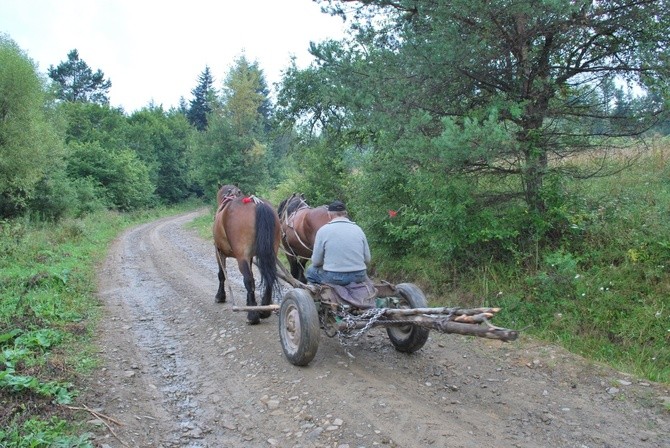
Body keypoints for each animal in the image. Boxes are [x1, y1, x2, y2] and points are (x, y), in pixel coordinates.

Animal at [213, 184, 280, 324]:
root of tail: (256, 204)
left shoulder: (219, 252)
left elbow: (221, 274)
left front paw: (220, 296)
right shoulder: (249, 257)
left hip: (241, 256)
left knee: (249, 280)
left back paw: (252, 315)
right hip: (271, 252)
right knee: (269, 277)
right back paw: (264, 310)